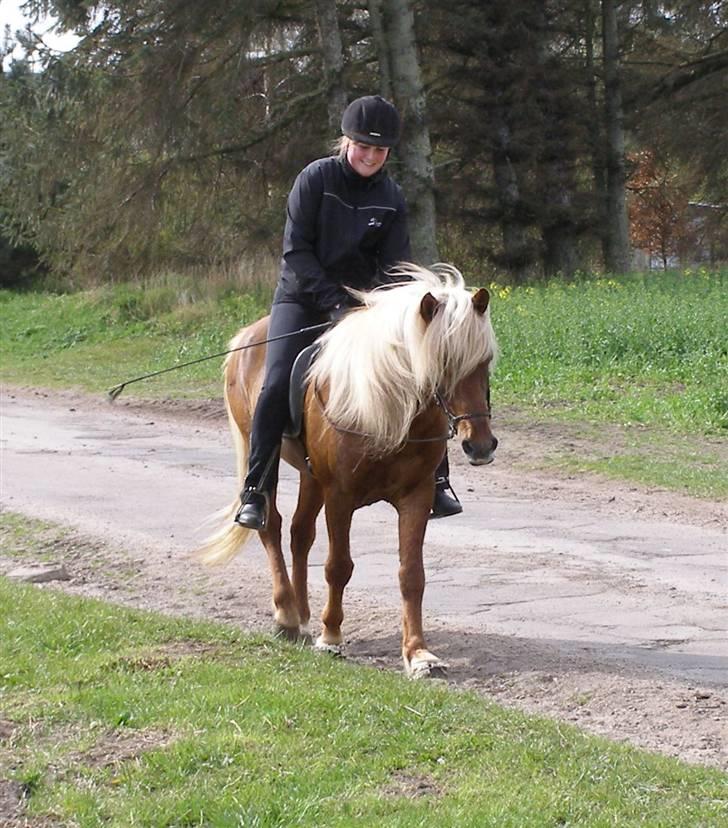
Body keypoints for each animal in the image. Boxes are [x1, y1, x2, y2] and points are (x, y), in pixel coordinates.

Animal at [196, 266, 498, 680]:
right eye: (443, 363)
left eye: (485, 361)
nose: (480, 446)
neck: (385, 406)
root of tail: (247, 335)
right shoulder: (340, 496)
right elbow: (339, 566)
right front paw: (332, 637)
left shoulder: (416, 496)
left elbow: (412, 574)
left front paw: (419, 654)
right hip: (266, 454)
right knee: (271, 525)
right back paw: (287, 614)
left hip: (311, 477)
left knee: (300, 533)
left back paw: (303, 612)